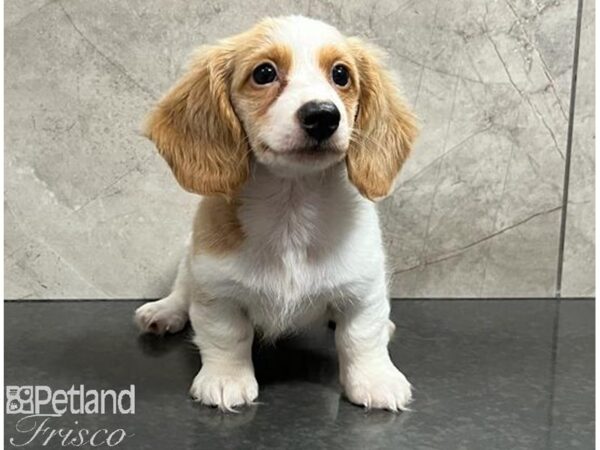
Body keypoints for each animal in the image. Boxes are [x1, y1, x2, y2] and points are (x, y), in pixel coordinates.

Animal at [135, 14, 418, 412]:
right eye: (264, 72)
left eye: (341, 74)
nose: (322, 116)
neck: (291, 210)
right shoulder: (216, 290)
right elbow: (226, 337)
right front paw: (226, 379)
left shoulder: (364, 290)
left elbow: (361, 337)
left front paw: (375, 380)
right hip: (190, 257)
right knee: (181, 290)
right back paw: (164, 312)